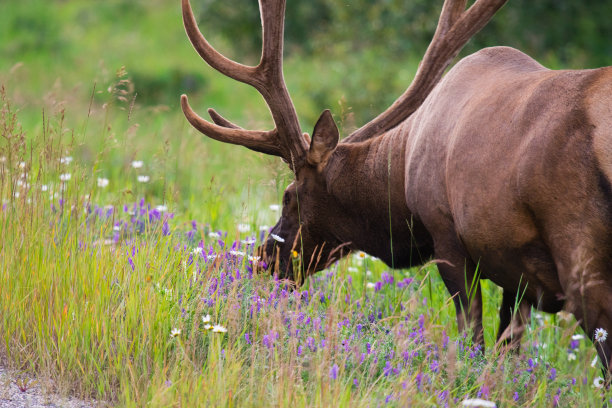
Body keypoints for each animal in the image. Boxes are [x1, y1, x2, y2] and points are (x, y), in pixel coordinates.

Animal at [179, 0, 612, 370]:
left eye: (288, 197)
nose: (264, 259)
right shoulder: (515, 271)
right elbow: (507, 355)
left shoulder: (447, 238)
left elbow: (473, 340)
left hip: (580, 253)